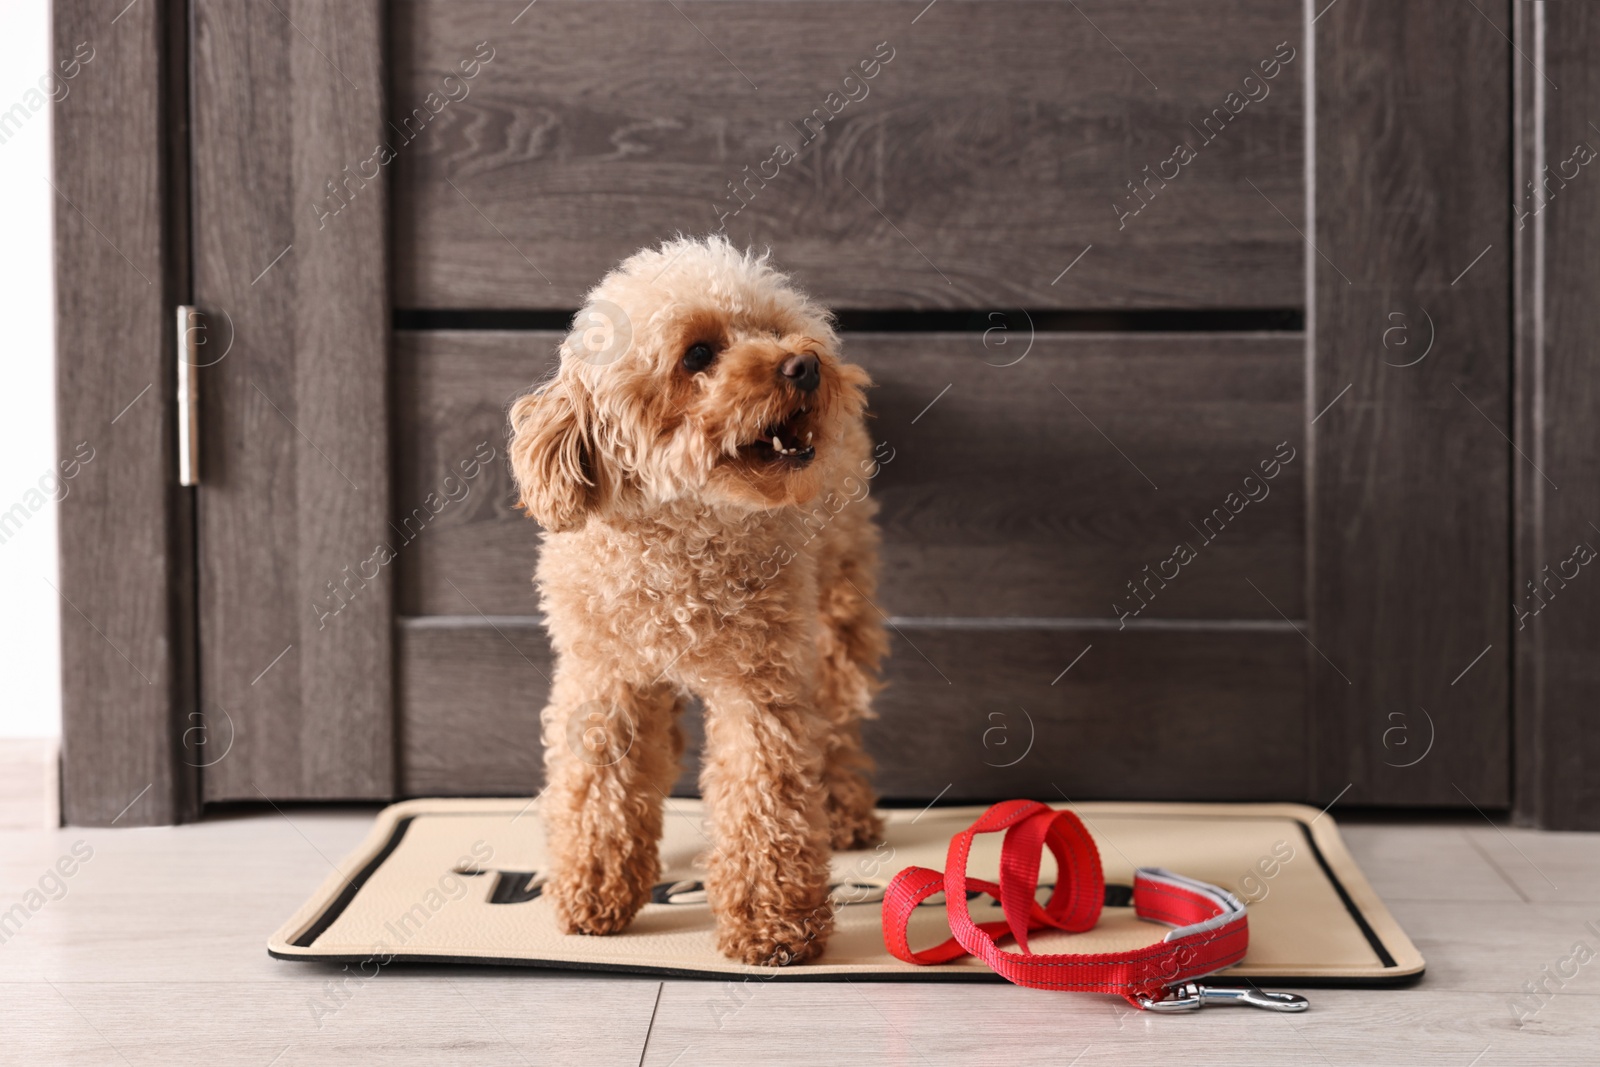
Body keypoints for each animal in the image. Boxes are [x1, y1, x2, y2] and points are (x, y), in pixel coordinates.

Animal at [508, 233, 889, 966]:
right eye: (697, 354)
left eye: (770, 328)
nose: (805, 363)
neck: (682, 541)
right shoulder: (606, 677)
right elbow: (598, 785)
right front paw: (591, 889)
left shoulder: (761, 686)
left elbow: (763, 799)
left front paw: (773, 925)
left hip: (840, 597)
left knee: (838, 710)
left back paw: (845, 807)